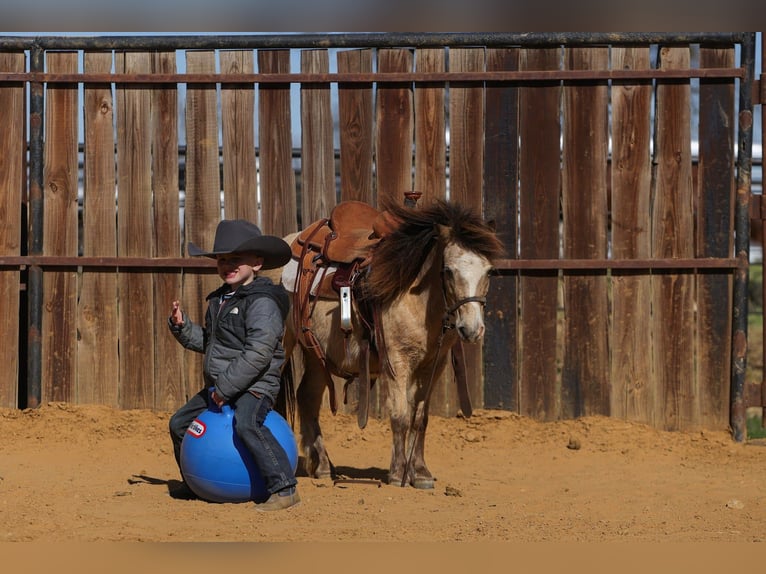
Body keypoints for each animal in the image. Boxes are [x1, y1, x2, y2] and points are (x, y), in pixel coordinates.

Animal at [276, 197, 504, 488]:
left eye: (489, 271)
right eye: (449, 270)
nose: (472, 329)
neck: (416, 297)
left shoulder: (434, 365)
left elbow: (420, 418)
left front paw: (420, 472)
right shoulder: (397, 362)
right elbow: (400, 415)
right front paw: (397, 473)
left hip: (315, 353)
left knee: (307, 397)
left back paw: (324, 467)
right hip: (283, 345)